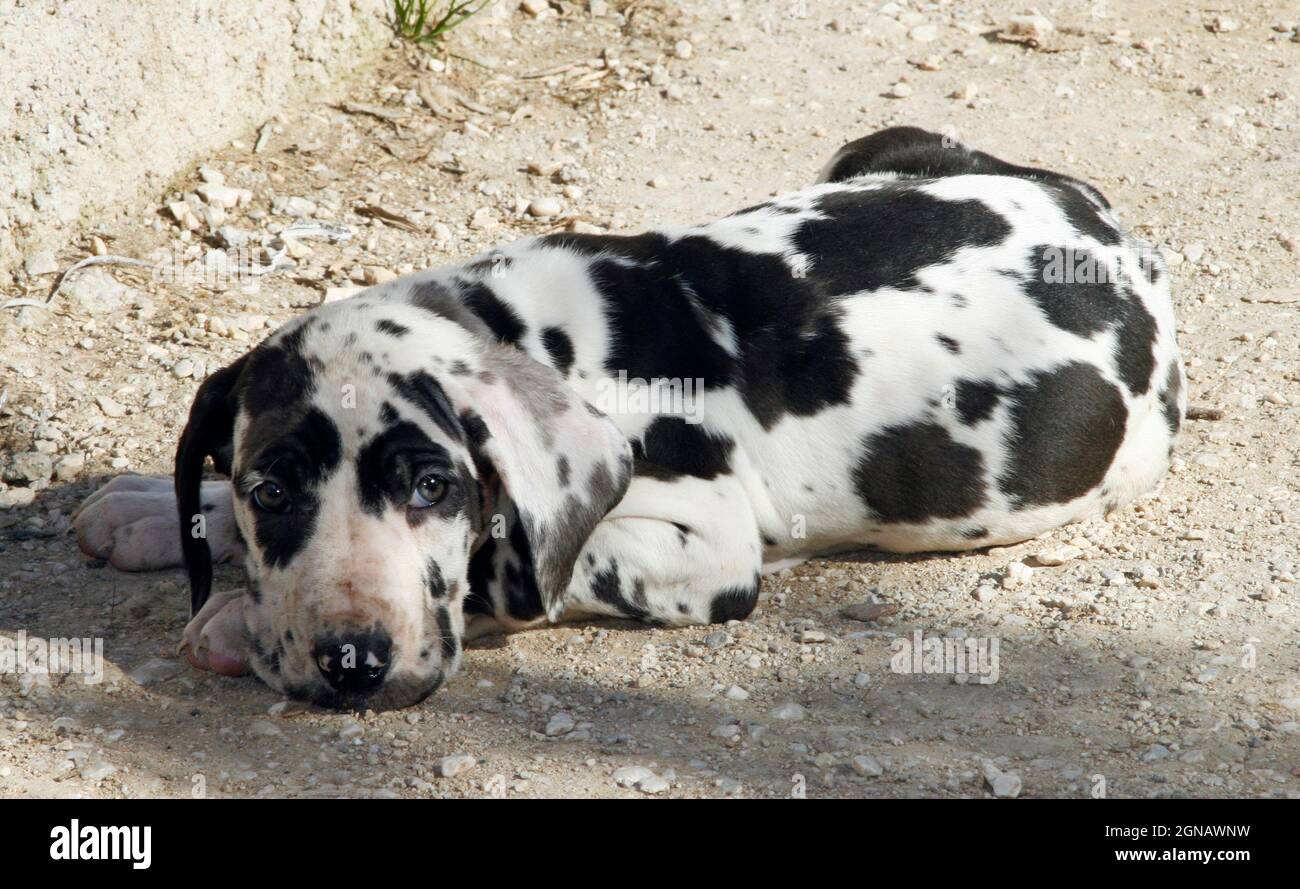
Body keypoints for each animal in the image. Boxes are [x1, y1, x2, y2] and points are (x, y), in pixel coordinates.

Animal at [73, 126, 1190, 707]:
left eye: (433, 485)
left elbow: (518, 564)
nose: (353, 660)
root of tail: (1108, 226)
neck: (526, 329)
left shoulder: (706, 545)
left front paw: (235, 615)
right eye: (269, 486)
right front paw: (160, 507)